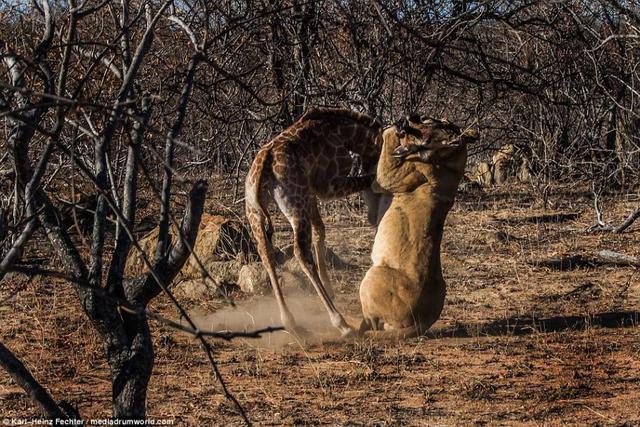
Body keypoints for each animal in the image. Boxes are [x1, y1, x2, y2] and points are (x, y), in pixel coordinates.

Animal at [245, 107, 382, 338]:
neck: (346, 134)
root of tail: (263, 165)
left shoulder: (310, 192)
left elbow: (320, 230)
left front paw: (330, 287)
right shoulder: (329, 185)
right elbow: (369, 178)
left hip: (254, 211)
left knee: (265, 252)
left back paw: (290, 321)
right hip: (295, 206)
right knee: (300, 252)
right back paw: (341, 323)